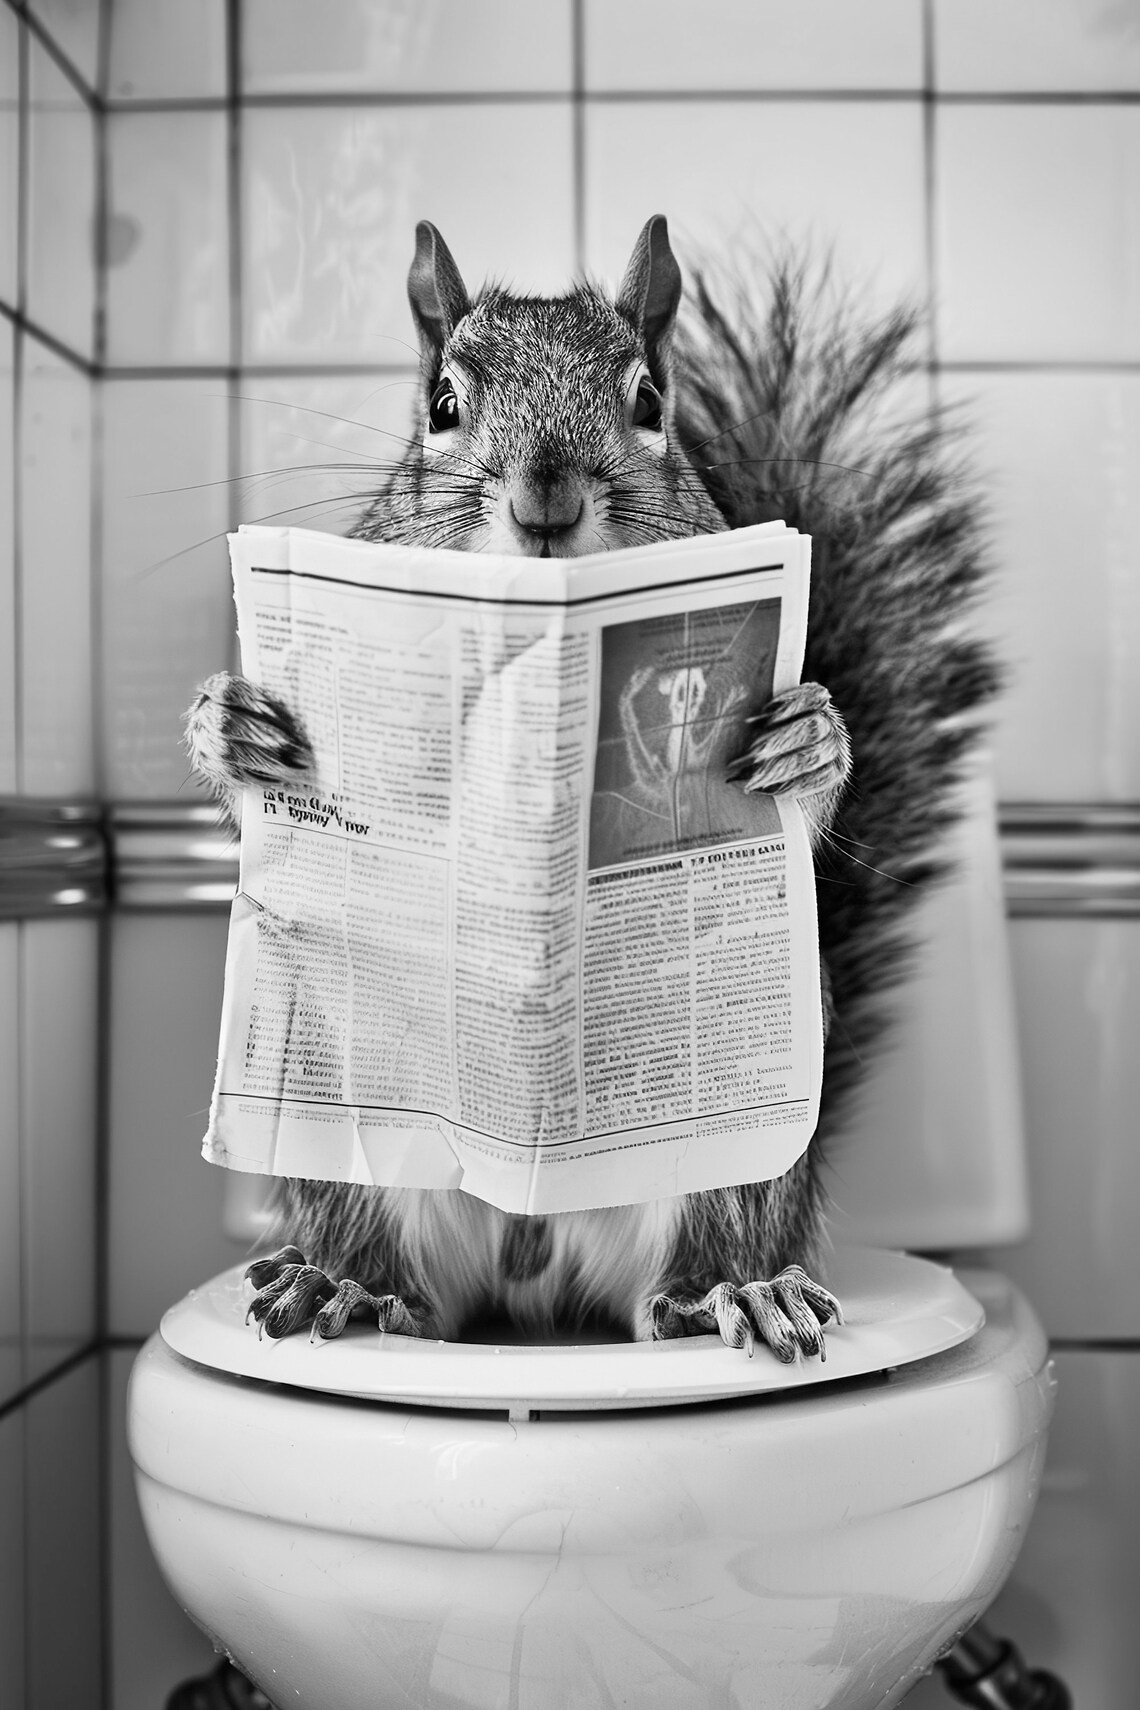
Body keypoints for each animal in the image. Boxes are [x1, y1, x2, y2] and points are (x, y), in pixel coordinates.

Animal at [186, 215, 996, 1362]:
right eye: (441, 403)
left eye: (651, 399)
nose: (546, 497)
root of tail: (533, 1253)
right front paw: (229, 727)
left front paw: (809, 741)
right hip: (342, 1106)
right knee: (390, 1261)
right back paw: (345, 1281)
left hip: (732, 1143)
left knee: (696, 1260)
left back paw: (735, 1290)